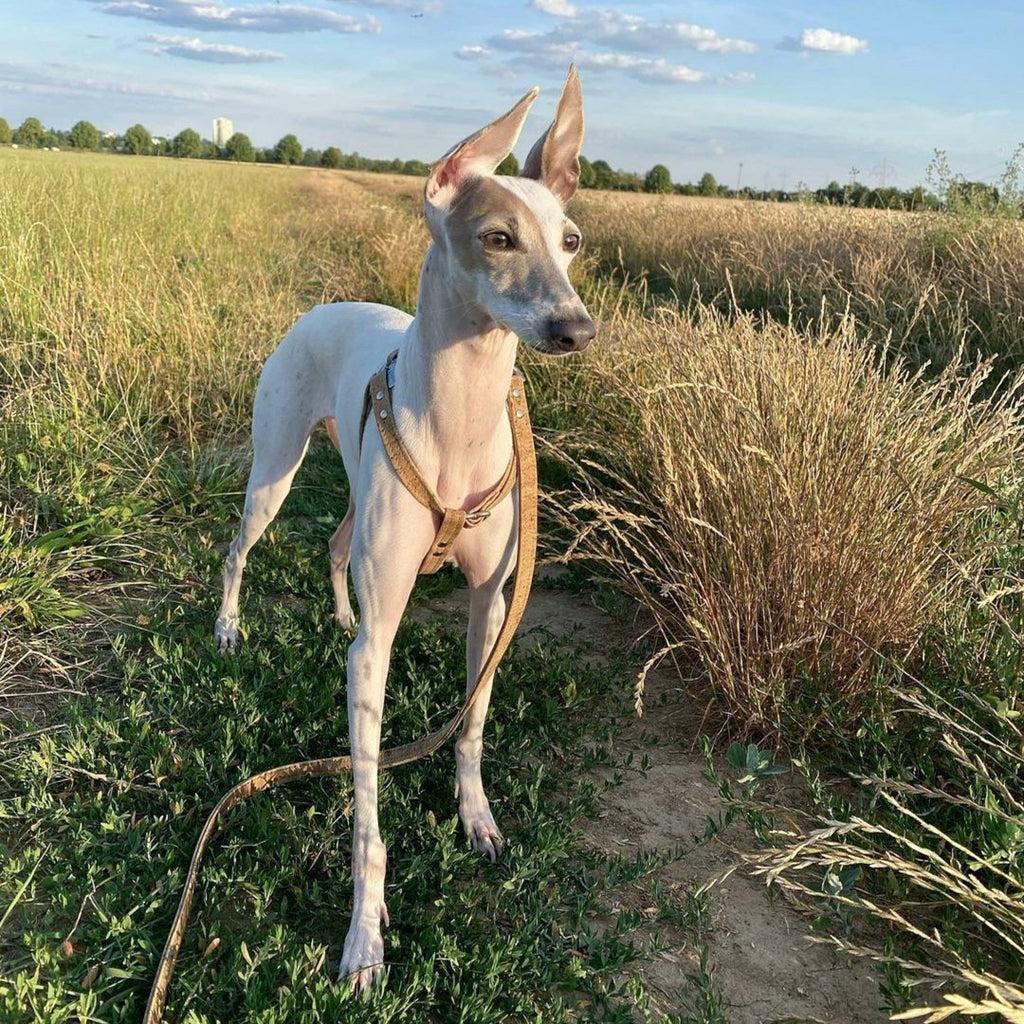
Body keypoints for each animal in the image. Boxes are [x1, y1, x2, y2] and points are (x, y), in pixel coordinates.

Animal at [216, 66, 598, 991]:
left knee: (334, 546)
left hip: (356, 484)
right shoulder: (375, 662)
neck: (462, 417)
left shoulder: (492, 607)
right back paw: (229, 627)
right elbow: (365, 819)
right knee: (240, 550)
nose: (575, 328)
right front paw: (364, 939)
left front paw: (477, 817)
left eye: (571, 240)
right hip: (273, 469)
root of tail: (324, 306)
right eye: (497, 237)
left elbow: (471, 727)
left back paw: (338, 611)